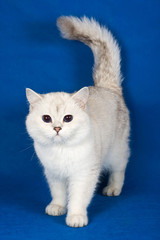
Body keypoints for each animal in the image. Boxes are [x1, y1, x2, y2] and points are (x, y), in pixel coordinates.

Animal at [25, 16, 130, 227]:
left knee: (119, 169)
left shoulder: (84, 174)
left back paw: (113, 189)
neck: (61, 151)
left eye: (68, 118)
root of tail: (106, 87)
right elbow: (58, 193)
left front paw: (75, 217)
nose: (57, 128)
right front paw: (57, 207)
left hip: (117, 151)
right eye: (46, 118)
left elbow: (78, 198)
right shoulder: (53, 174)